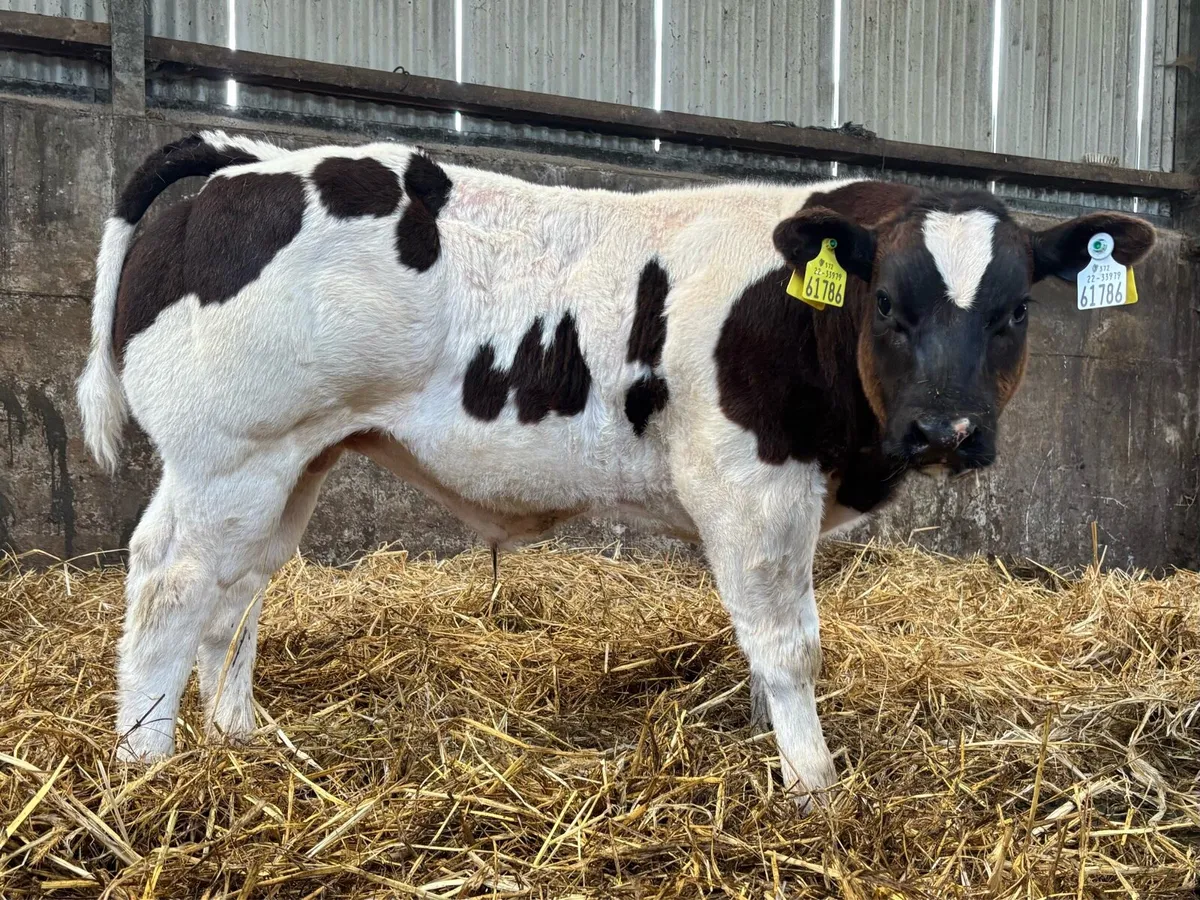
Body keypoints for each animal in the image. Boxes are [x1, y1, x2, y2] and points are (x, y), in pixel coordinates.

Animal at [77, 131, 1155, 808]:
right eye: (888, 303)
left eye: (1015, 310)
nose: (945, 429)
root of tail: (249, 164)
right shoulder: (750, 486)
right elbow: (789, 647)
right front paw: (815, 788)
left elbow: (763, 652)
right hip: (230, 455)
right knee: (169, 584)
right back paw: (146, 769)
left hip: (293, 461)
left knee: (234, 596)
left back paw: (241, 741)